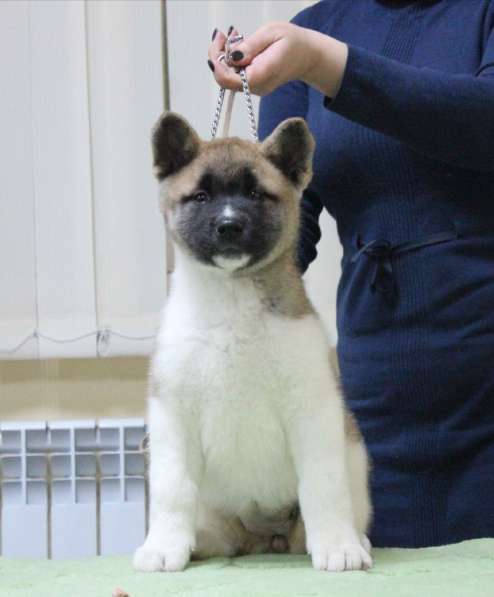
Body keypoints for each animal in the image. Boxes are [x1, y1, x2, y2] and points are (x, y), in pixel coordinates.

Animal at [133, 113, 372, 572]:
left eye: (256, 194)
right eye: (201, 195)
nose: (229, 225)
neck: (231, 301)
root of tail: (266, 538)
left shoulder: (314, 412)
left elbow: (323, 486)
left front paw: (338, 545)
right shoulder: (173, 417)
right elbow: (172, 489)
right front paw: (164, 545)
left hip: (352, 458)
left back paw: (351, 539)